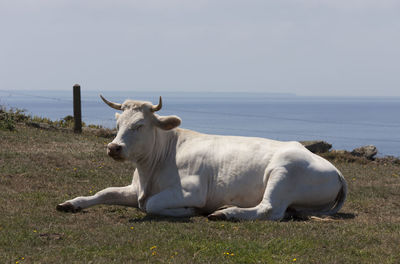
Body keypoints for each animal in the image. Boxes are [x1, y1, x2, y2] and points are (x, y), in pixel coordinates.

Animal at [57, 95, 346, 221]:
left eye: (139, 125)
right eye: (118, 124)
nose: (113, 147)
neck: (151, 168)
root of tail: (336, 171)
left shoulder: (191, 190)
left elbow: (150, 205)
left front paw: (188, 211)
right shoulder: (134, 188)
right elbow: (104, 192)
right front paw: (71, 203)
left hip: (283, 173)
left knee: (269, 209)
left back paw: (225, 213)